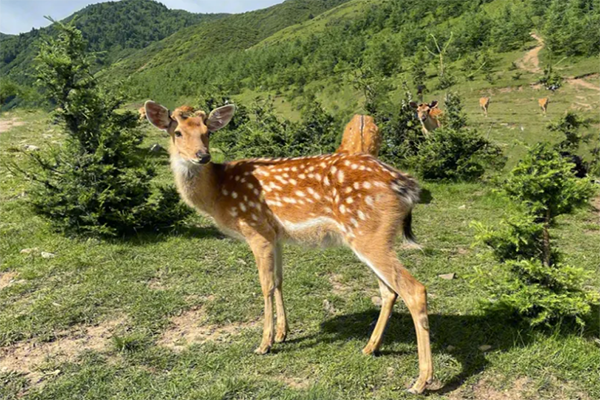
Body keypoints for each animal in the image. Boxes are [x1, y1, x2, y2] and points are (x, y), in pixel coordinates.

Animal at [144, 100, 436, 394]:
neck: (217, 193)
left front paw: (265, 343)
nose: (202, 156)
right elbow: (279, 281)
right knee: (389, 291)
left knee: (414, 290)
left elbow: (265, 285)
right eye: (178, 132)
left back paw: (421, 381)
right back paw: (369, 348)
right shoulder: (276, 235)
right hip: (370, 236)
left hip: (369, 232)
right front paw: (283, 333)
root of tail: (406, 185)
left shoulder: (257, 230)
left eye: (207, 132)